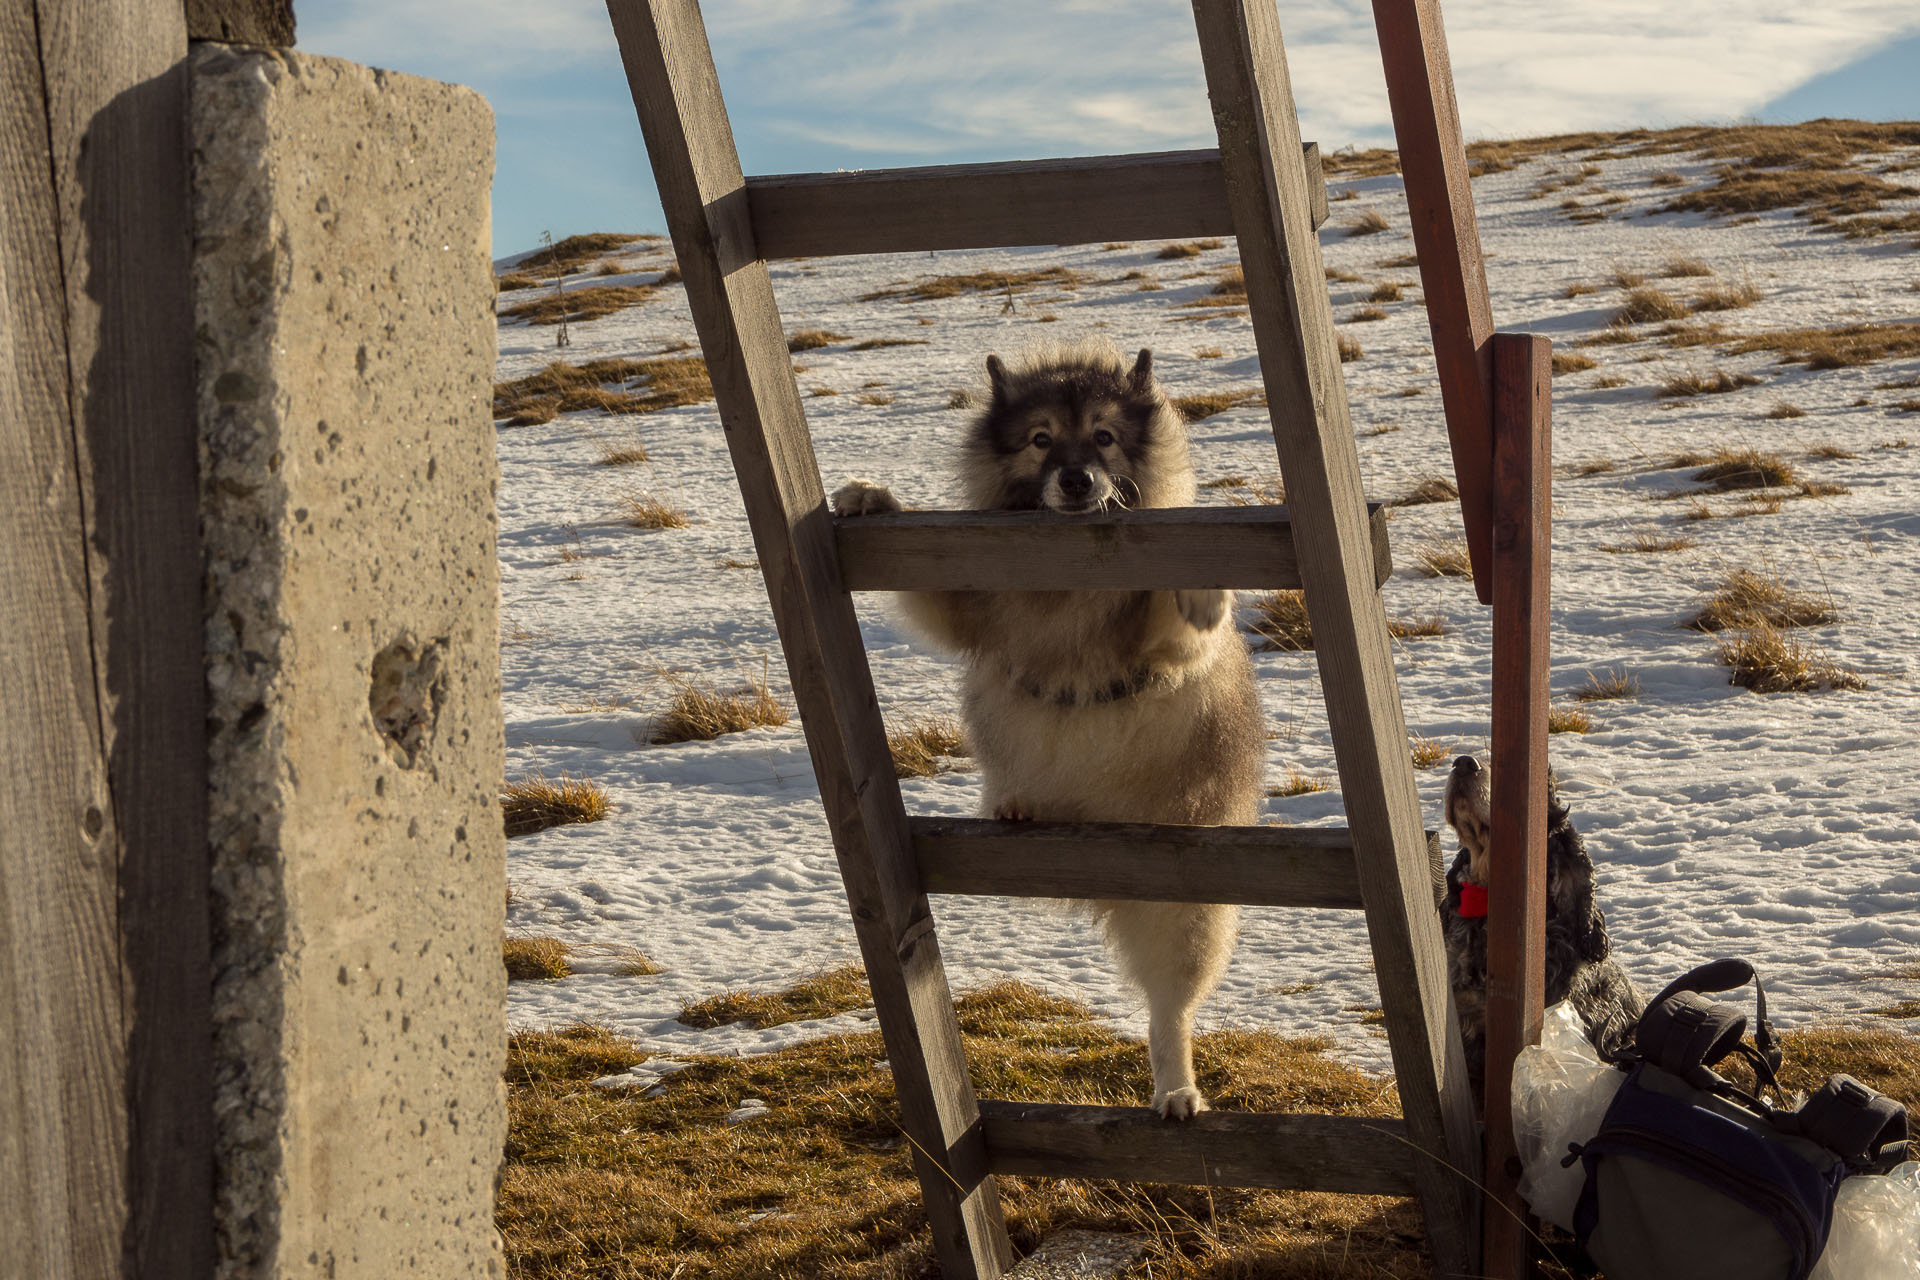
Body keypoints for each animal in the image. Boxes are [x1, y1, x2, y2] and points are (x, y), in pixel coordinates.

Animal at [837, 343, 1259, 1120]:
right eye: (1040, 439)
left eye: (1103, 437)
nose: (1074, 477)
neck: (1066, 571)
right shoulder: (968, 603)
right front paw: (871, 496)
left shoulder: (1157, 648)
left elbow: (1179, 607)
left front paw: (1202, 589)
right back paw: (1015, 803)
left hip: (1186, 911)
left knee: (1170, 1010)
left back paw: (1176, 1087)